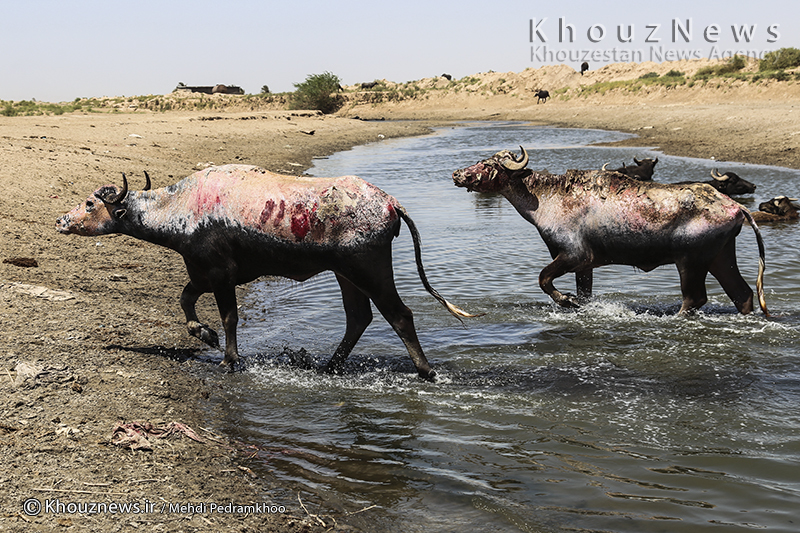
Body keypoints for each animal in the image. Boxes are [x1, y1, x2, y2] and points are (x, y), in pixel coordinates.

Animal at [57, 164, 476, 376]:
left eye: (91, 203)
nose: (62, 220)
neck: (181, 207)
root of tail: (389, 203)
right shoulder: (201, 274)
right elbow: (186, 301)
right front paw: (203, 334)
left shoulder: (221, 276)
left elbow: (228, 318)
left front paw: (228, 357)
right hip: (345, 275)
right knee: (359, 318)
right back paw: (328, 366)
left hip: (368, 270)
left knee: (400, 315)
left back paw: (425, 371)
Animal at [450, 145, 768, 316]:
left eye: (488, 164)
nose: (457, 174)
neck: (546, 198)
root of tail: (735, 207)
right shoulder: (585, 265)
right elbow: (584, 294)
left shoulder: (574, 255)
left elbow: (543, 279)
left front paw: (566, 300)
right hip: (720, 257)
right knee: (742, 294)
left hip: (691, 261)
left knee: (695, 299)